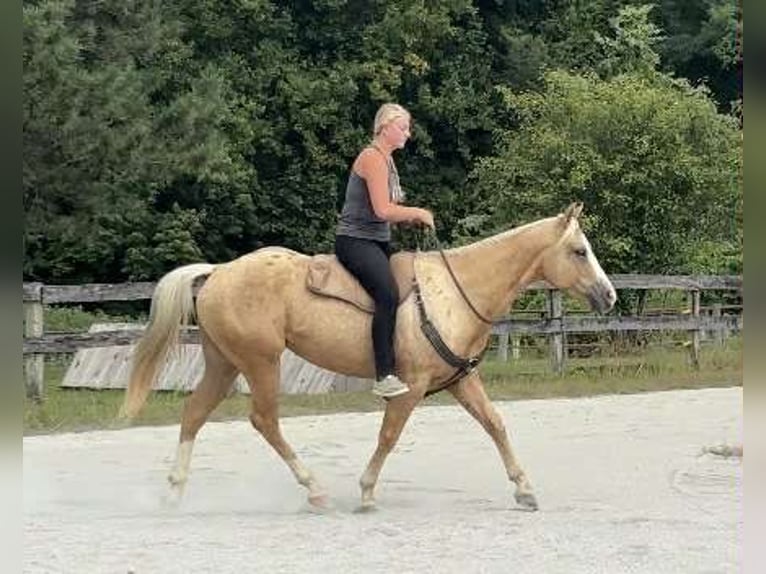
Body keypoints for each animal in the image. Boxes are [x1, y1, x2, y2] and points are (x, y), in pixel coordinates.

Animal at [120, 202, 616, 511]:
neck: (455, 291)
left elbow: (494, 424)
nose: (609, 295)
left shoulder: (460, 381)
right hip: (261, 363)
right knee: (264, 421)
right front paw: (366, 492)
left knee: (194, 413)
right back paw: (315, 491)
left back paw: (174, 493)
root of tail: (218, 272)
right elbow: (389, 437)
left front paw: (525, 490)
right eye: (579, 250)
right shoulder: (410, 388)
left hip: (224, 363)